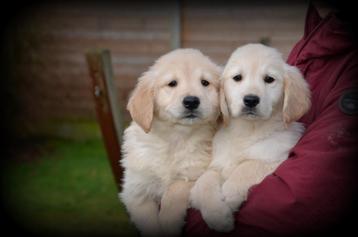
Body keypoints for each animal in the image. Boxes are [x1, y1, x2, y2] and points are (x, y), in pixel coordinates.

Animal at [119, 48, 221, 235]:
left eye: (205, 82)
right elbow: (147, 220)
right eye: (172, 83)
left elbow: (174, 190)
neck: (175, 137)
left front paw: (168, 222)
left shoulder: (194, 174)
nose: (191, 101)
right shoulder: (135, 190)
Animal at [190, 43, 310, 232]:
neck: (248, 131)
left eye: (269, 79)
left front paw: (229, 194)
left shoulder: (275, 158)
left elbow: (247, 166)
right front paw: (218, 215)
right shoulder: (217, 165)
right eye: (237, 78)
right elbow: (205, 182)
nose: (251, 100)